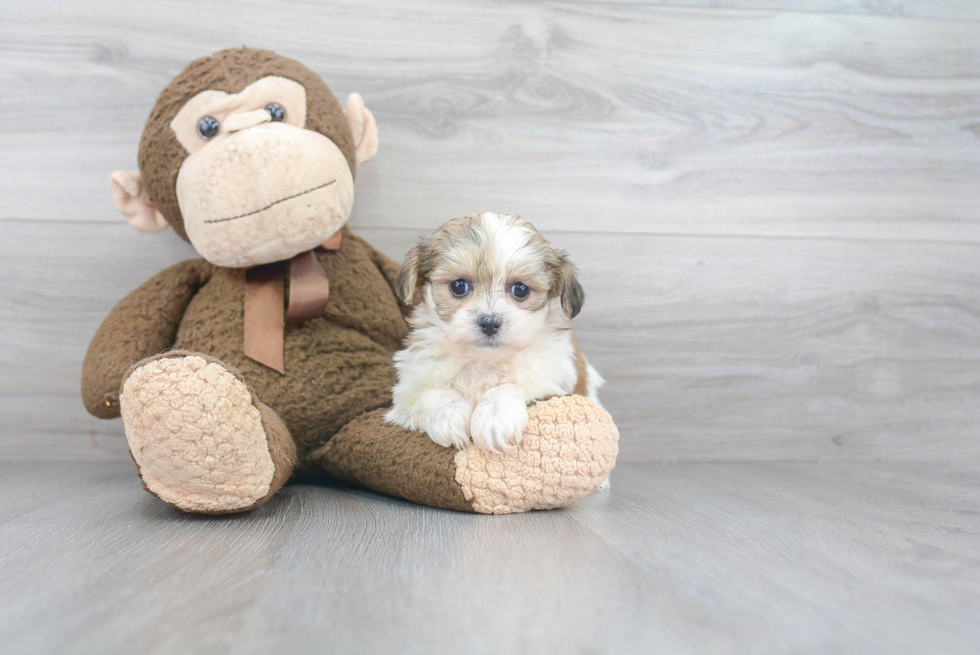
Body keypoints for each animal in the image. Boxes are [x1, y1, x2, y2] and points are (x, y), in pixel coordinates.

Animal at [384, 213, 600, 454]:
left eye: (520, 289)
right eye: (459, 286)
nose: (489, 323)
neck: (483, 361)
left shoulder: (550, 382)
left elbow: (512, 385)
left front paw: (496, 415)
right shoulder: (408, 391)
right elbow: (431, 390)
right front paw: (449, 414)